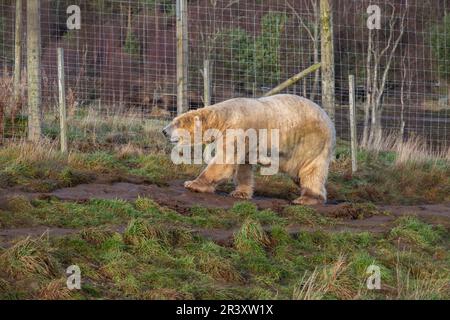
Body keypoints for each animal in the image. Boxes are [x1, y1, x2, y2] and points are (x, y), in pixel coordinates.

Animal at [162, 94, 334, 206]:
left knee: (310, 170)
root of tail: (330, 121)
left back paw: (306, 198)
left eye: (176, 123)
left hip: (310, 141)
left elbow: (224, 161)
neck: (223, 117)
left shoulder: (238, 129)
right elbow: (243, 166)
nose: (164, 131)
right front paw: (241, 193)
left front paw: (192, 184)